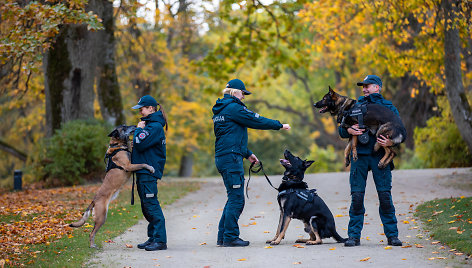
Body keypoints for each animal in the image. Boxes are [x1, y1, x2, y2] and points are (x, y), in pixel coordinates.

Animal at [340, 75, 406, 247]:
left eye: (324, 98)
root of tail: (401, 129)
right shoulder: (351, 131)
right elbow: (347, 145)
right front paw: (347, 158)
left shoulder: (356, 128)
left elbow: (352, 144)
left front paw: (353, 154)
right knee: (392, 152)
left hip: (380, 134)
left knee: (391, 151)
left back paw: (382, 162)